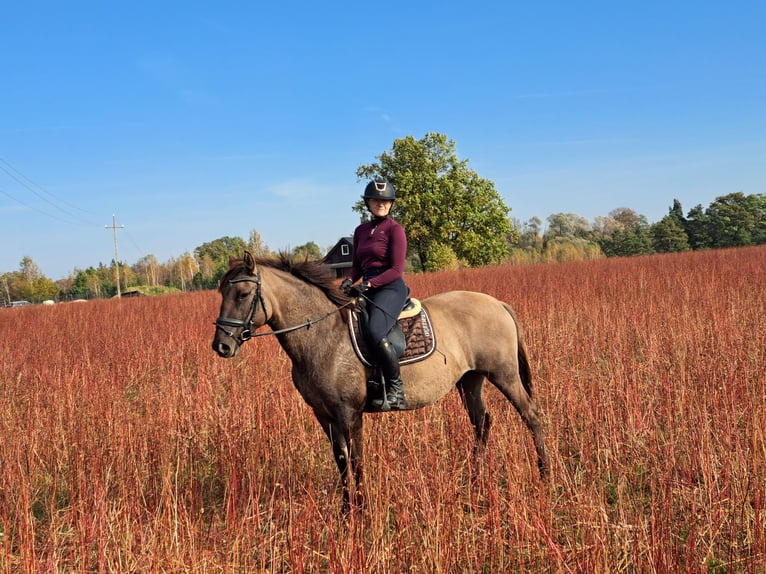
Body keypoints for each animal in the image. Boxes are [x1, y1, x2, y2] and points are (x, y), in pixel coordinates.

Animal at [213, 252, 548, 512]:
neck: (323, 336)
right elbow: (341, 460)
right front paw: (346, 511)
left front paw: (362, 512)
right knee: (481, 423)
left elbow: (356, 460)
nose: (222, 346)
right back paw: (475, 481)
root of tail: (497, 303)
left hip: (504, 375)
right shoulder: (324, 415)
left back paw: (544, 475)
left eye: (242, 294)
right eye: (222, 294)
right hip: (470, 379)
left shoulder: (350, 414)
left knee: (531, 416)